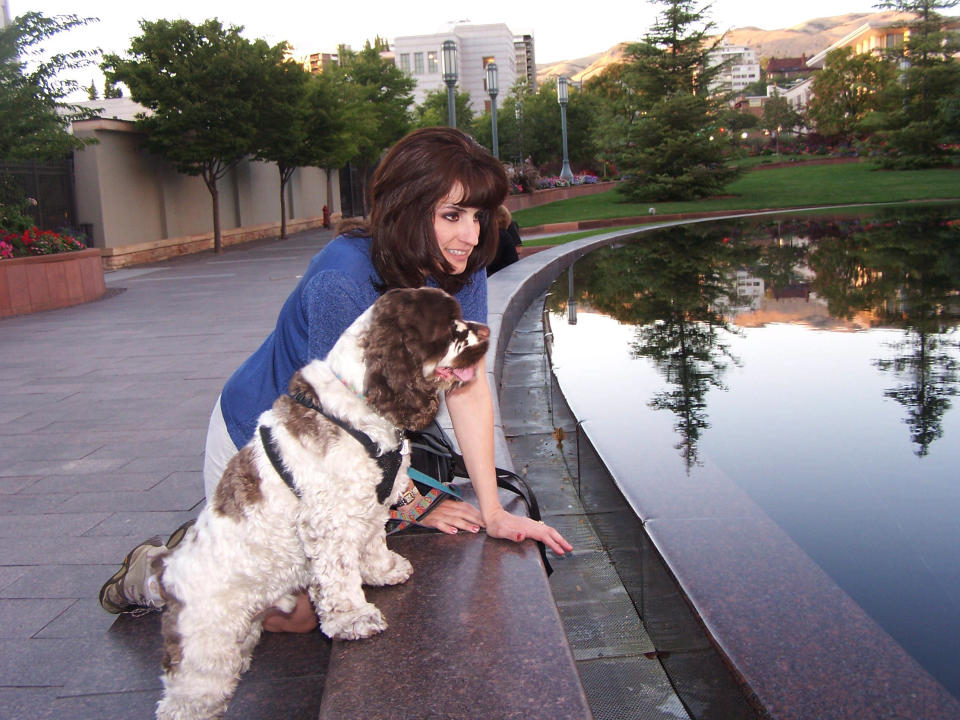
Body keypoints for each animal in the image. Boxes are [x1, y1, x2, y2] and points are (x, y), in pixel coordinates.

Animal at [157, 288, 492, 720]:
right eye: (451, 328)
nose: (486, 331)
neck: (362, 404)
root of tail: (166, 577)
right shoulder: (327, 524)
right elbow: (340, 577)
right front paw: (354, 618)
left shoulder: (369, 506)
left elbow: (372, 543)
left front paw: (384, 570)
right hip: (207, 652)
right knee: (184, 701)